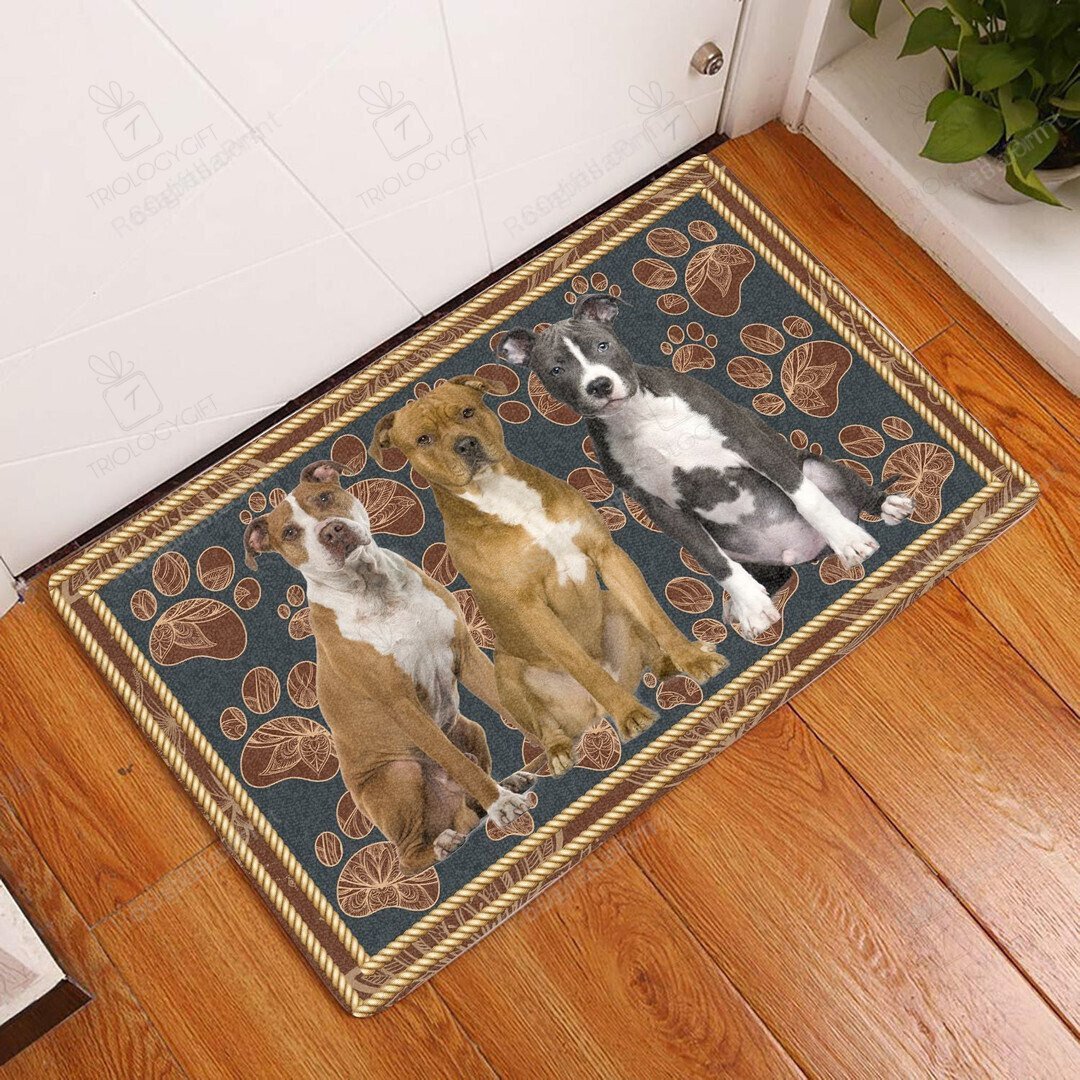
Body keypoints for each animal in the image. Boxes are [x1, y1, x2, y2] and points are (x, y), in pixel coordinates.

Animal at [242, 460, 530, 873]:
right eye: (290, 532)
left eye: (324, 498)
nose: (332, 530)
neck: (377, 591)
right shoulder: (400, 703)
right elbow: (456, 761)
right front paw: (502, 804)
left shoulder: (466, 655)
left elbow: (516, 708)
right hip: (401, 772)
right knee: (409, 856)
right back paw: (444, 845)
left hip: (469, 729)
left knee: (467, 800)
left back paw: (505, 786)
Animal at [370, 377, 728, 775]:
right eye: (424, 439)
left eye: (467, 411)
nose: (465, 444)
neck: (503, 498)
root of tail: (592, 715)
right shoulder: (530, 607)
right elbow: (582, 666)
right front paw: (629, 713)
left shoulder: (608, 556)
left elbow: (656, 617)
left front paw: (692, 659)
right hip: (507, 671)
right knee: (543, 726)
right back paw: (559, 749)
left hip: (613, 603)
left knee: (647, 641)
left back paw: (672, 663)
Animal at [496, 295, 914, 636]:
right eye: (555, 370)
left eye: (603, 345)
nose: (599, 385)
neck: (639, 417)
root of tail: (808, 552)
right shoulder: (661, 506)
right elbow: (710, 558)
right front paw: (751, 603)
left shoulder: (750, 442)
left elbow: (806, 498)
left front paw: (848, 541)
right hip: (752, 554)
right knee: (765, 569)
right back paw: (742, 607)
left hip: (813, 465)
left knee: (844, 490)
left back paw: (884, 506)